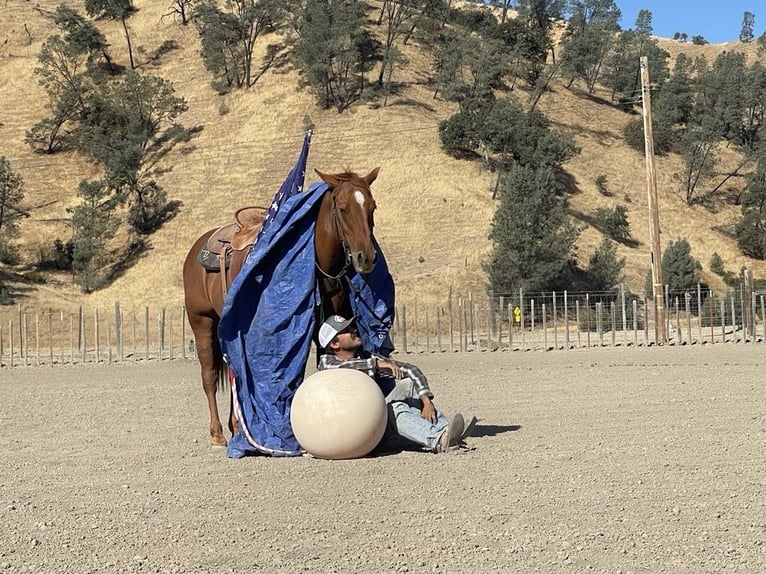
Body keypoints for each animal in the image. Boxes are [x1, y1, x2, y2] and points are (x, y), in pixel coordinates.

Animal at [182, 167, 380, 447]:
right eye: (342, 209)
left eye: (372, 207)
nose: (367, 257)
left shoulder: (328, 323)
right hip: (201, 322)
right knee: (209, 376)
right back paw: (218, 433)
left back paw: (237, 426)